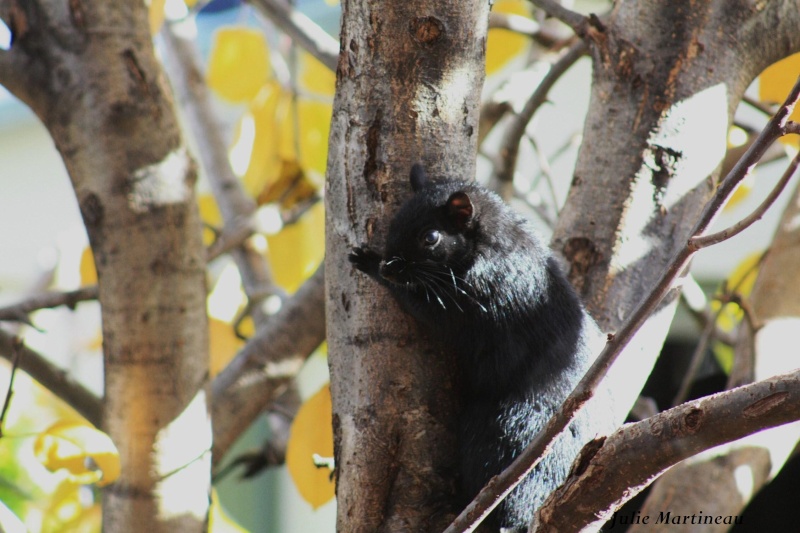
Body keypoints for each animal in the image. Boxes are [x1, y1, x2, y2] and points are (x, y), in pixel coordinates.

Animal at [348, 164, 608, 528]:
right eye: (395, 221)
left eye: (430, 237)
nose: (390, 267)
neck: (492, 243)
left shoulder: (474, 295)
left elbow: (424, 308)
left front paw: (369, 264)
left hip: (500, 430)